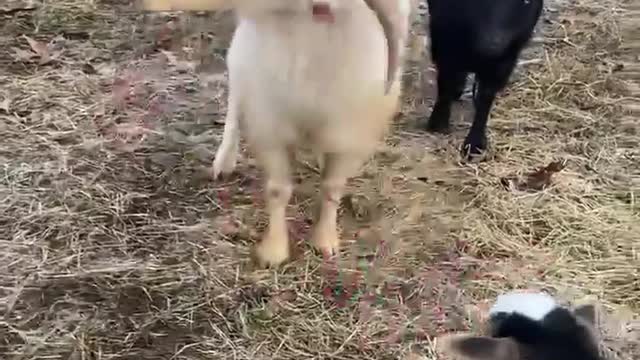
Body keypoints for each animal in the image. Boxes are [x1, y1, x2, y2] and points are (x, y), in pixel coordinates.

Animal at [196, 0, 410, 268]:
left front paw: (325, 241)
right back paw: (224, 161)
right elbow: (278, 191)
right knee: (235, 98)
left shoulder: (349, 134)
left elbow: (332, 188)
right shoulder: (270, 124)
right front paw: (274, 250)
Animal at [422, 0, 544, 159]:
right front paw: (438, 123)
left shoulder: (506, 59)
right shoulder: (443, 39)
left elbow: (486, 97)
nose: (493, 43)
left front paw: (474, 144)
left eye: (526, 2)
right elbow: (446, 82)